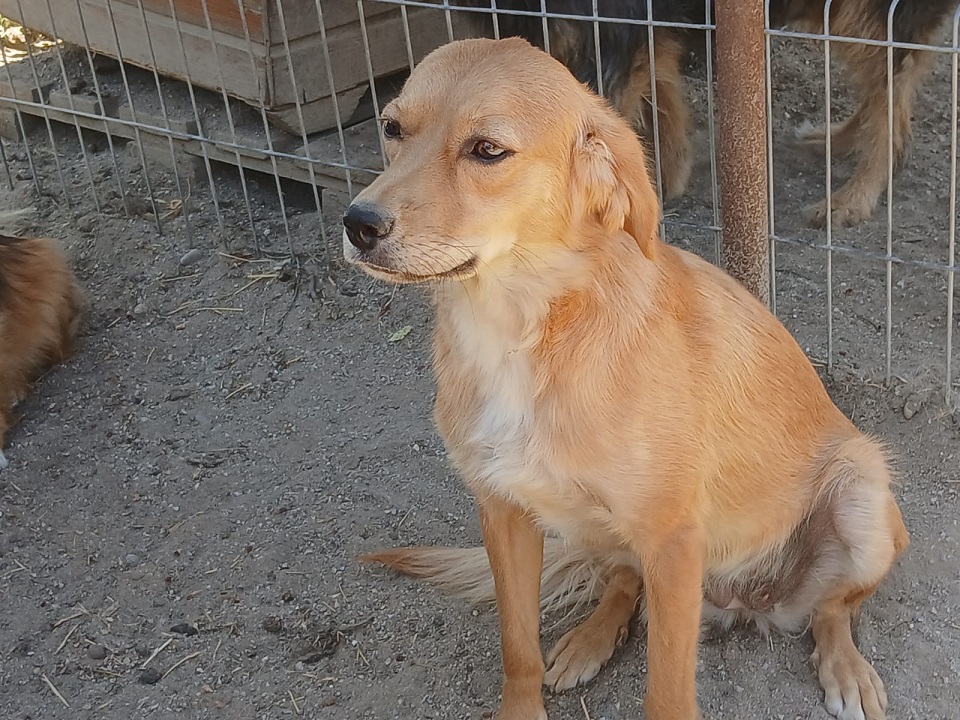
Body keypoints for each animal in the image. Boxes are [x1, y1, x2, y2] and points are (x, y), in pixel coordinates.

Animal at [343, 37, 909, 720]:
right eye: (391, 128)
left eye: (487, 150)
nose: (358, 223)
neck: (524, 329)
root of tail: (748, 600)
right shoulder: (502, 508)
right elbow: (518, 645)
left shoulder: (673, 540)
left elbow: (666, 691)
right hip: (594, 524)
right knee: (622, 582)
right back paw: (590, 639)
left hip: (861, 490)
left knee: (833, 609)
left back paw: (845, 667)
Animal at [457, 0, 958, 227]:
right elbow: (661, 94)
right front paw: (670, 175)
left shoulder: (609, 34)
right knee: (889, 93)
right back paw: (837, 140)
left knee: (891, 105)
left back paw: (853, 196)